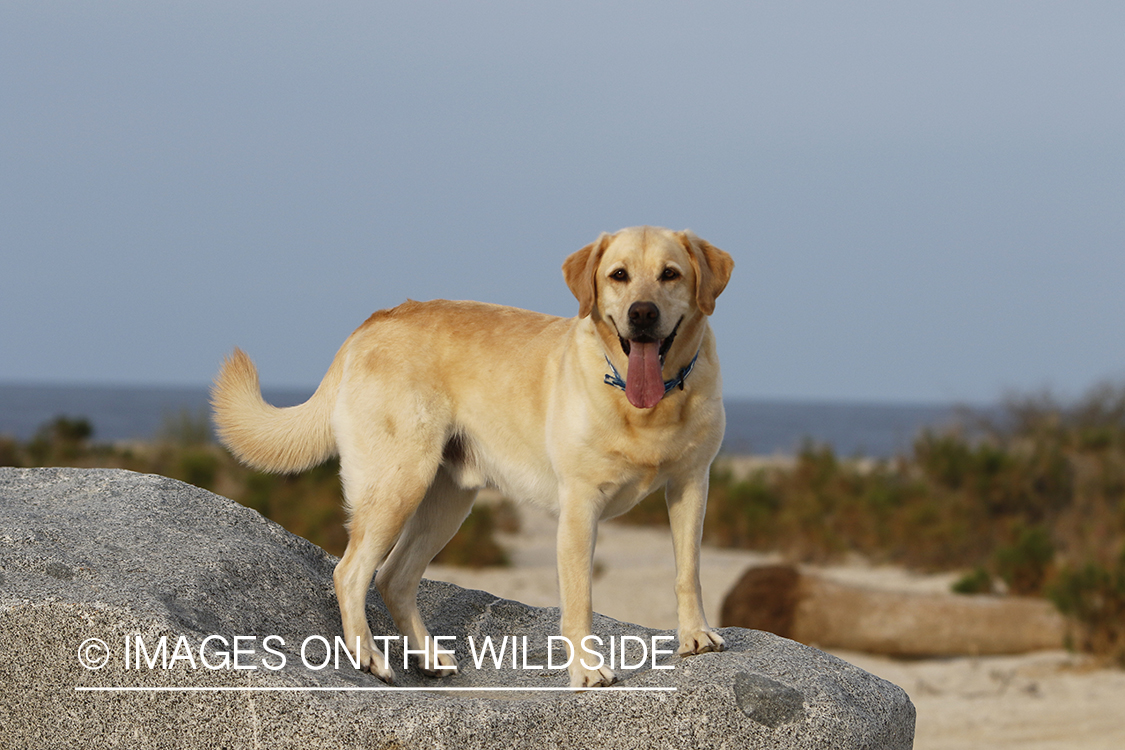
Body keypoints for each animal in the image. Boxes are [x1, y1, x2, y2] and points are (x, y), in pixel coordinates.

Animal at [211, 226, 733, 688]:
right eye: (618, 275)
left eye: (670, 274)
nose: (642, 314)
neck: (644, 404)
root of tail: (373, 321)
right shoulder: (581, 507)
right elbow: (579, 599)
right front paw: (586, 670)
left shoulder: (691, 485)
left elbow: (688, 571)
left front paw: (694, 636)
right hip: (398, 485)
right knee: (350, 572)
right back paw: (369, 656)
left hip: (446, 503)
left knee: (394, 578)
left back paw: (427, 657)